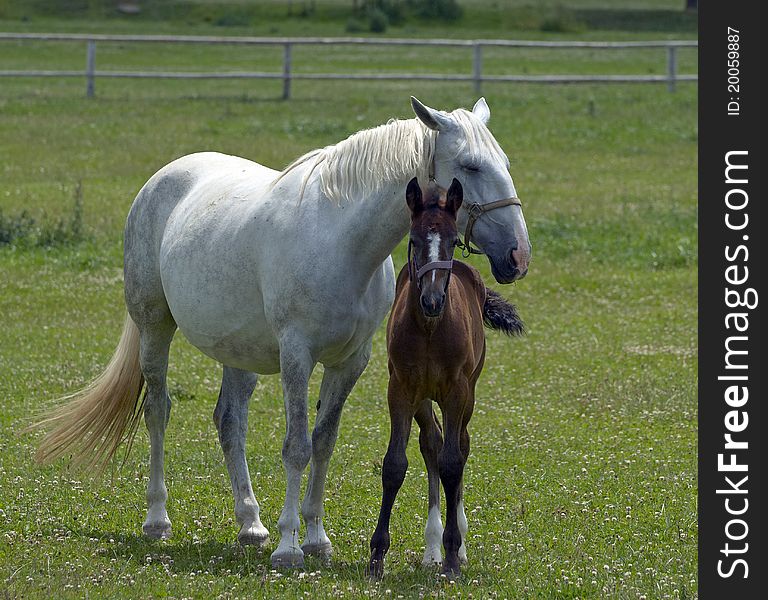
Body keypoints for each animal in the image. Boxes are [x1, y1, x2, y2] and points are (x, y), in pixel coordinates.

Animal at [366, 177, 520, 576]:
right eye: (414, 240)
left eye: (451, 241)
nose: (433, 300)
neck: (431, 329)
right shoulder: (400, 388)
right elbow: (394, 465)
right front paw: (377, 555)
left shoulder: (457, 390)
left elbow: (453, 463)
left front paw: (453, 554)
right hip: (423, 397)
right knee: (432, 443)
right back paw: (431, 547)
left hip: (469, 393)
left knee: (460, 445)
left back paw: (456, 545)